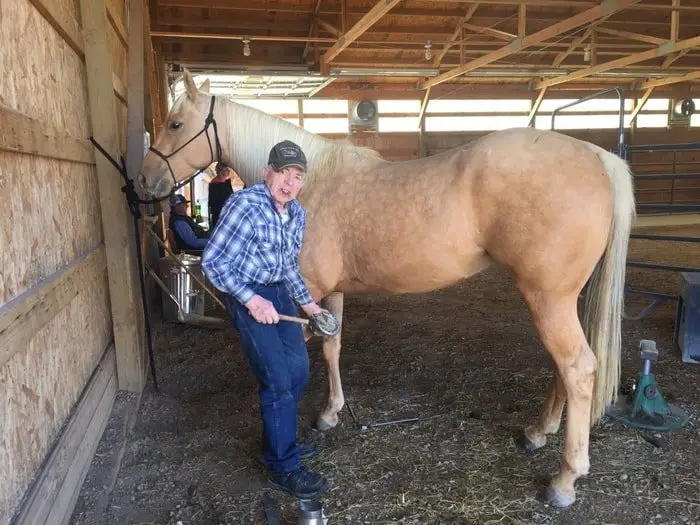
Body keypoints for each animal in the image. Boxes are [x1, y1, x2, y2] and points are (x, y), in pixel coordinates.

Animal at [137, 70, 636, 508]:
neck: (311, 183)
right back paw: (537, 433)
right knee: (565, 368)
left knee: (578, 369)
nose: (144, 180)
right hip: (561, 299)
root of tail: (597, 157)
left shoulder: (308, 288)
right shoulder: (327, 293)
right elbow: (332, 347)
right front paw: (332, 413)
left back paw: (565, 480)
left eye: (176, 124)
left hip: (548, 299)